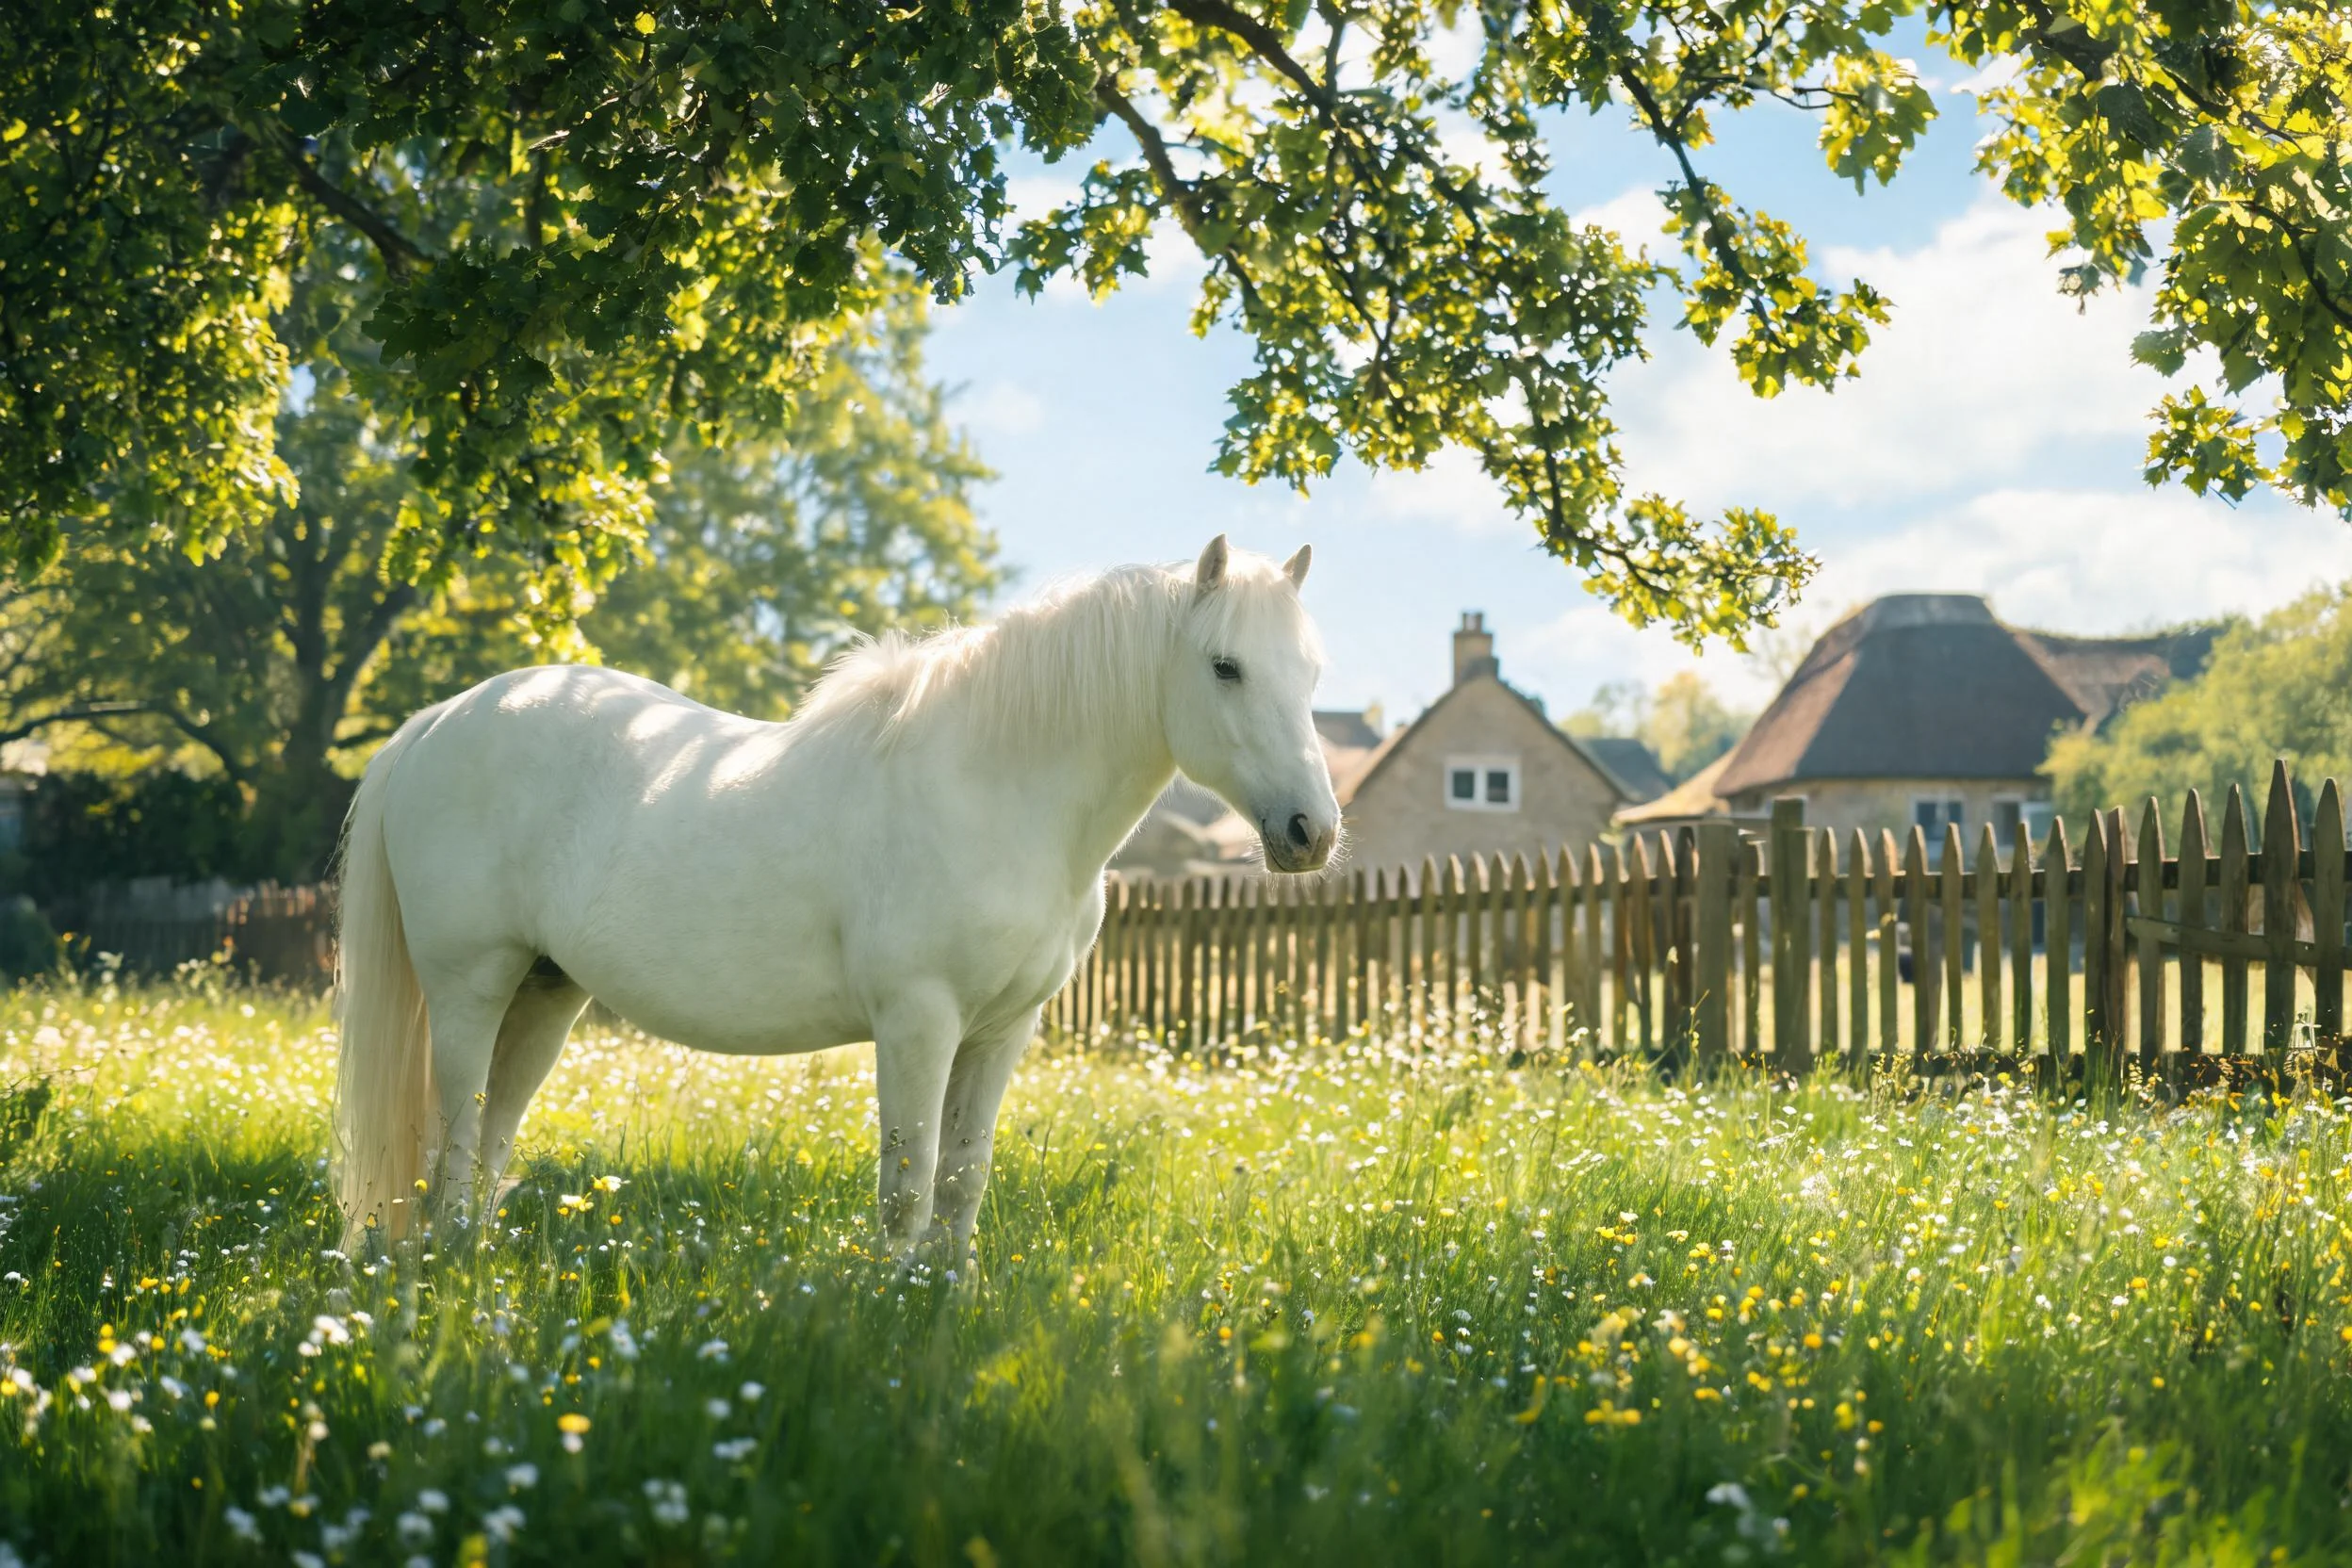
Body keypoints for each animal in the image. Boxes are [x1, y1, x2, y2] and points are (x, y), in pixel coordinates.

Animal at [333, 536, 1338, 1251]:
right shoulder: (919, 1022)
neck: (996, 787)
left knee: (490, 1143)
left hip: (546, 995)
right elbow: (908, 1188)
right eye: (1224, 666)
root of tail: (439, 721)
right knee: (456, 1141)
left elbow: (962, 1183)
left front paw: (946, 1309)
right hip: (471, 988)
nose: (1311, 834)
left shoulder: (1002, 1032)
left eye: (1311, 673)